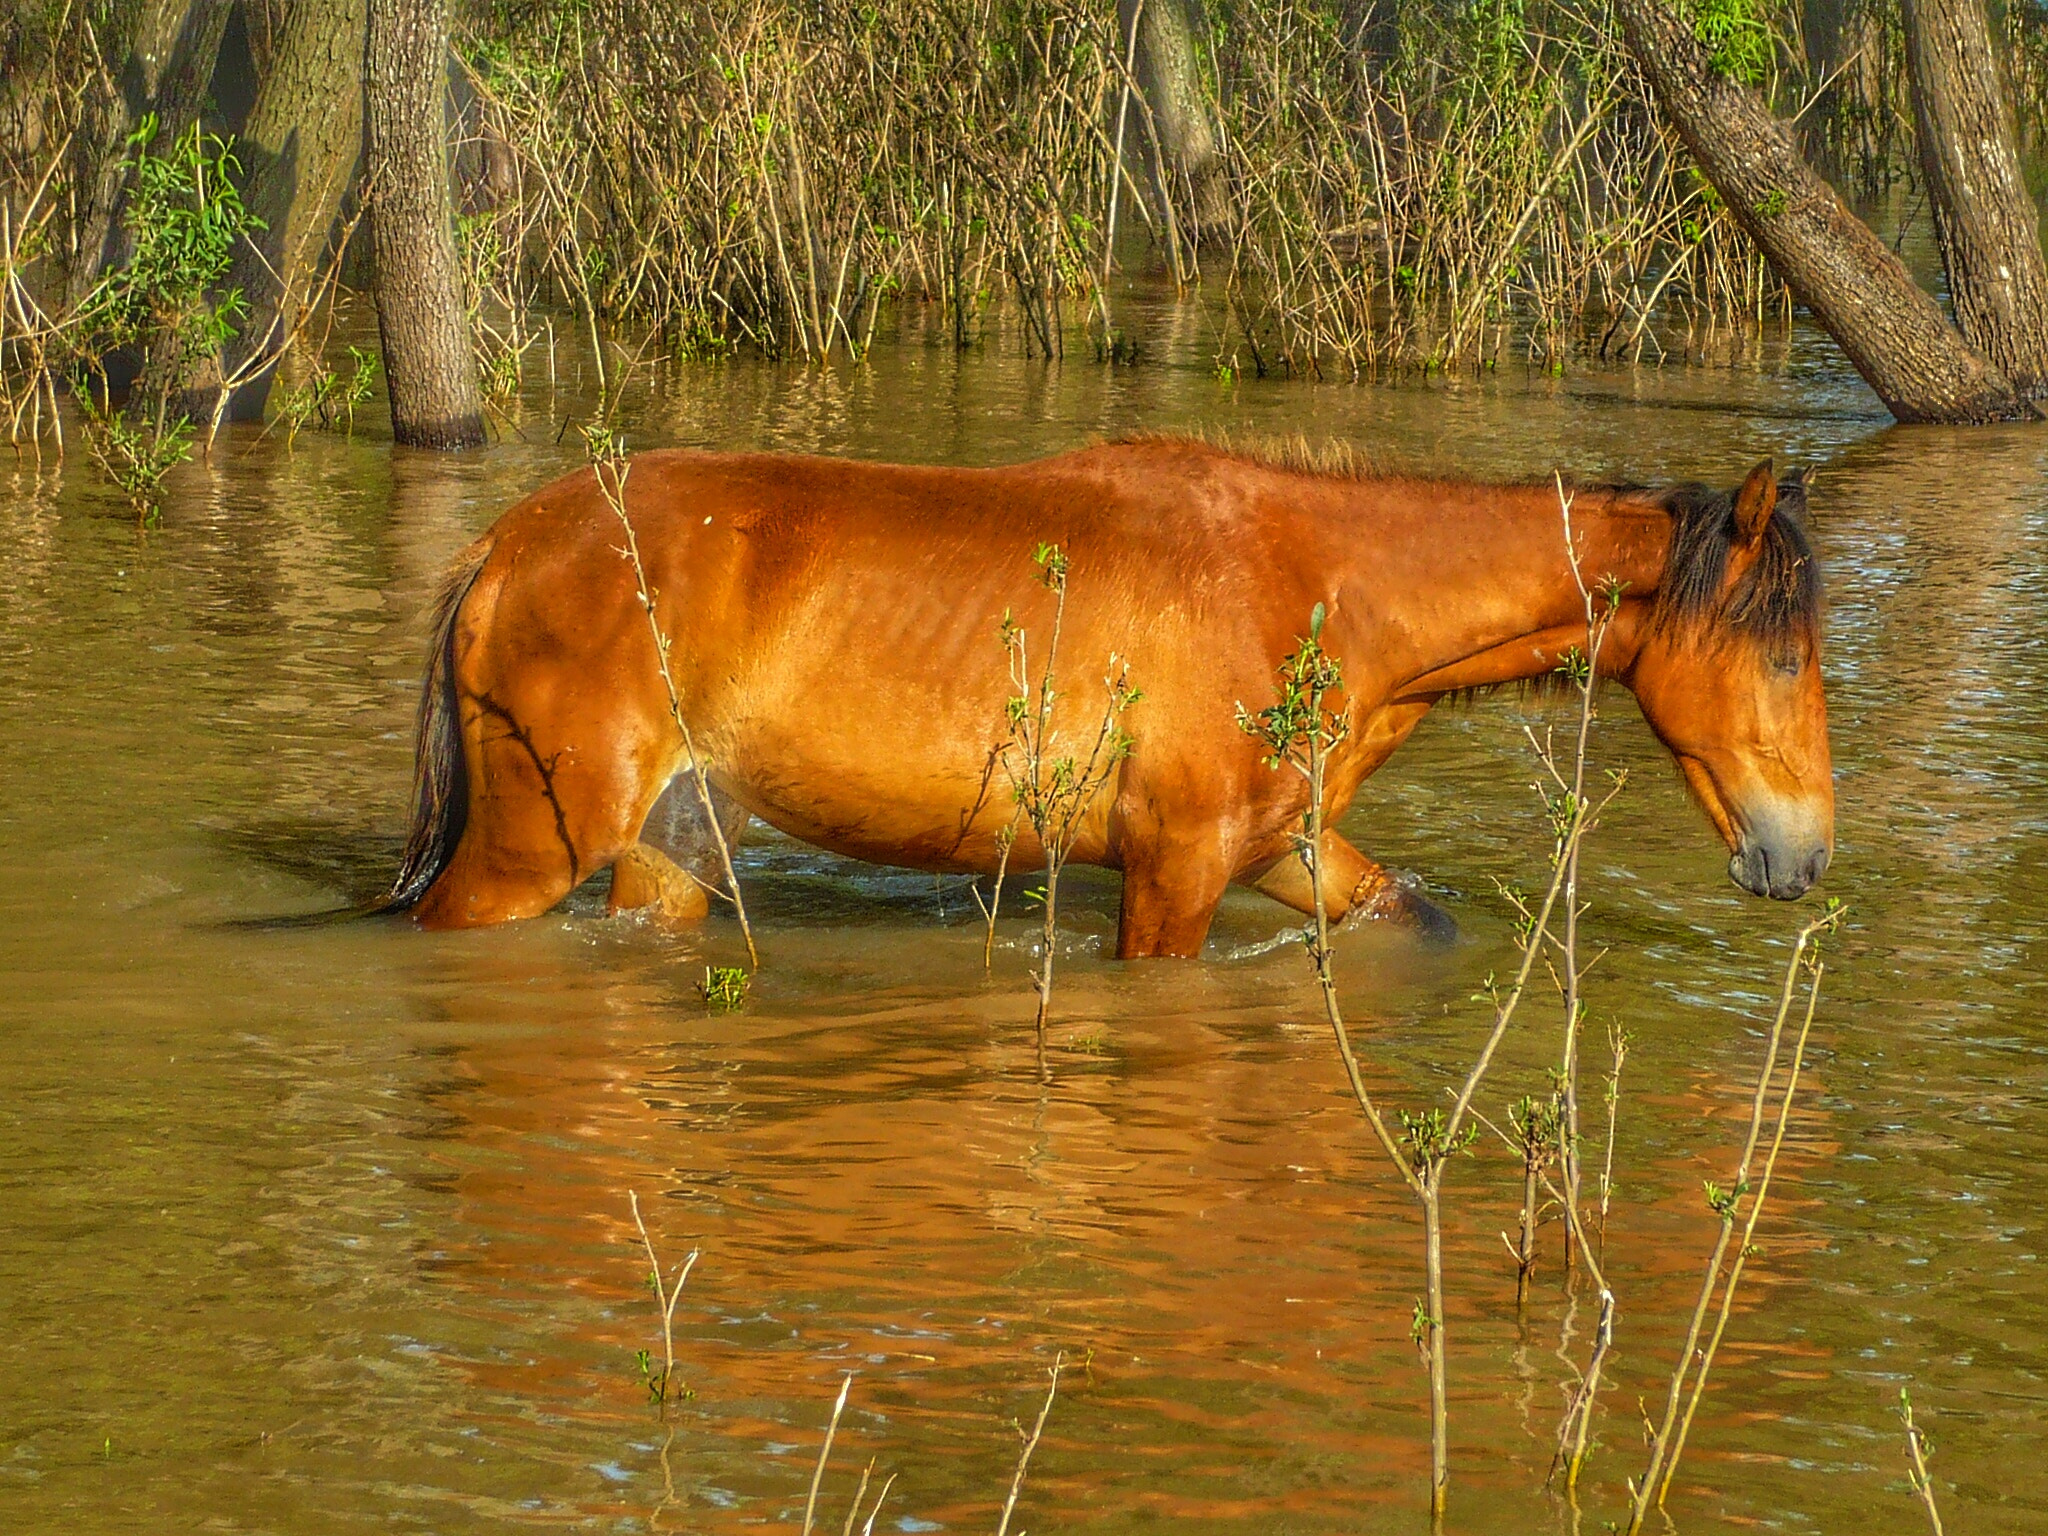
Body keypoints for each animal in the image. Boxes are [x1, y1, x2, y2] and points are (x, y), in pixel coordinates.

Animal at [380, 438, 1826, 958]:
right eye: (1786, 656)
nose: (1800, 856)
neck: (1317, 589)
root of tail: (504, 546)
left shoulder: (1286, 850)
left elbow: (1414, 921)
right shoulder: (1174, 873)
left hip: (671, 846)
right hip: (532, 848)